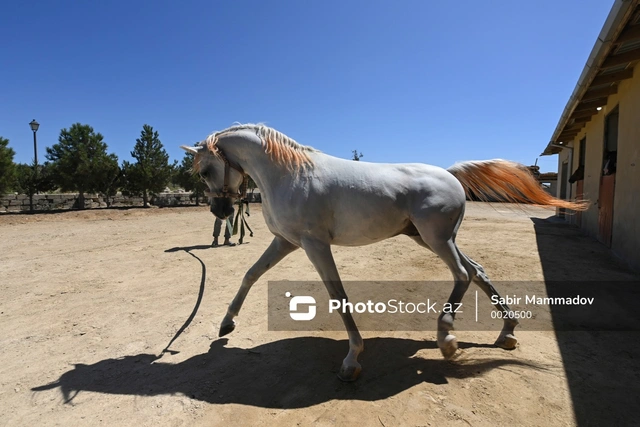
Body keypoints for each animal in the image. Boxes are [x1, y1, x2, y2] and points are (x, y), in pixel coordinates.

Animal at [180, 123, 584, 382]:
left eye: (206, 170)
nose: (220, 212)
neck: (289, 174)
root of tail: (450, 174)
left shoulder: (314, 245)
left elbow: (338, 296)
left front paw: (351, 361)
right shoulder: (286, 242)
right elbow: (251, 273)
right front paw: (226, 323)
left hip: (437, 240)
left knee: (463, 274)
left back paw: (447, 339)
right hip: (431, 238)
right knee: (479, 271)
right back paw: (507, 333)